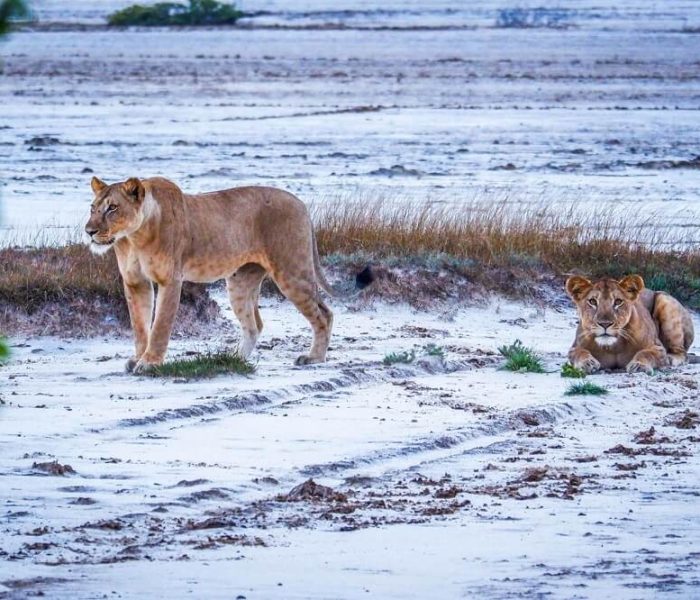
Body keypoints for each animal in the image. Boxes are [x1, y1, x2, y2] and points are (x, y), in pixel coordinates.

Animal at [85, 176, 373, 374]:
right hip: (240, 282)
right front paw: (137, 358)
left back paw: (314, 358)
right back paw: (234, 357)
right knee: (254, 325)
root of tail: (301, 204)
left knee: (324, 313)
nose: (89, 231)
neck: (132, 238)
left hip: (292, 271)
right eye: (93, 208)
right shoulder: (136, 283)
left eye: (112, 208)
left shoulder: (171, 280)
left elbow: (159, 327)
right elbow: (140, 325)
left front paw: (149, 363)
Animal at [565, 274, 695, 375]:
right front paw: (587, 363)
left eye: (618, 301)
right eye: (592, 301)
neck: (614, 347)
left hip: (665, 300)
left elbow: (646, 353)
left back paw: (669, 359)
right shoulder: (574, 347)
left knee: (682, 353)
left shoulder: (657, 348)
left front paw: (639, 365)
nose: (605, 324)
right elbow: (579, 353)